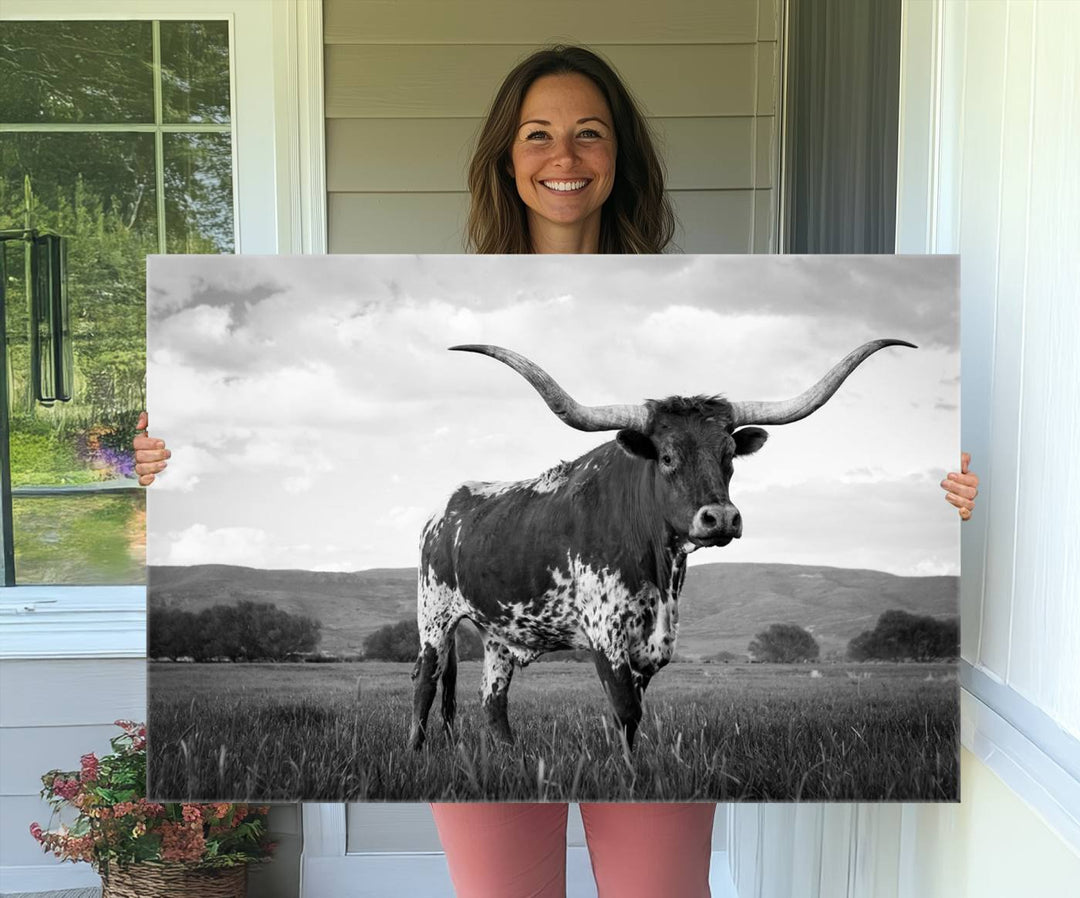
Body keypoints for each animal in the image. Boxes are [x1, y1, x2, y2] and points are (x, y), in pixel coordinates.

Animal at [406, 341, 911, 747]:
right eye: (666, 457)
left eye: (729, 455)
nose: (720, 518)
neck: (659, 567)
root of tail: (443, 510)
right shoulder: (605, 634)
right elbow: (625, 712)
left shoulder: (652, 645)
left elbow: (630, 717)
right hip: (435, 618)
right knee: (424, 687)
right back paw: (416, 753)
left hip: (498, 635)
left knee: (493, 701)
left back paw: (511, 756)